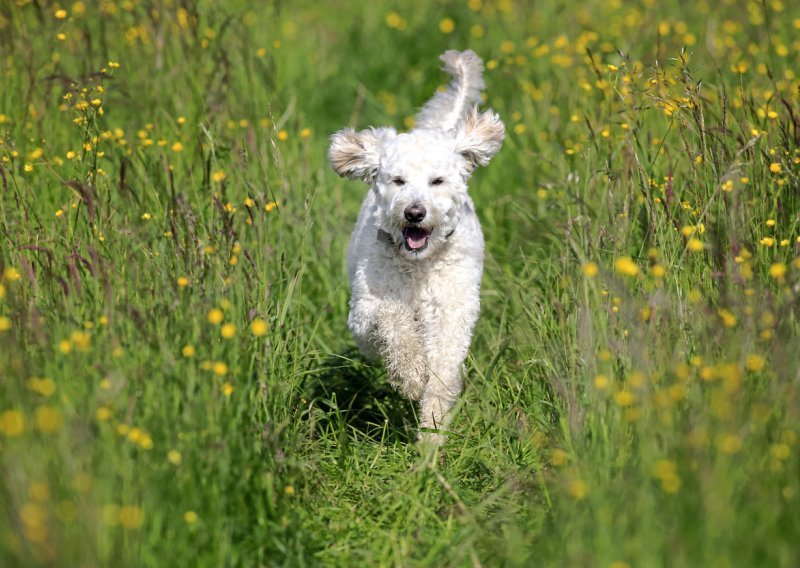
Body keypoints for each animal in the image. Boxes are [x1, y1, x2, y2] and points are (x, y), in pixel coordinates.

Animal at [326, 50, 504, 444]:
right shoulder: (364, 314)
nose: (414, 212)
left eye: (437, 181)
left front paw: (432, 432)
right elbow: (392, 320)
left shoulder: (453, 311)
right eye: (398, 180)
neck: (419, 264)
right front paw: (410, 377)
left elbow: (442, 371)